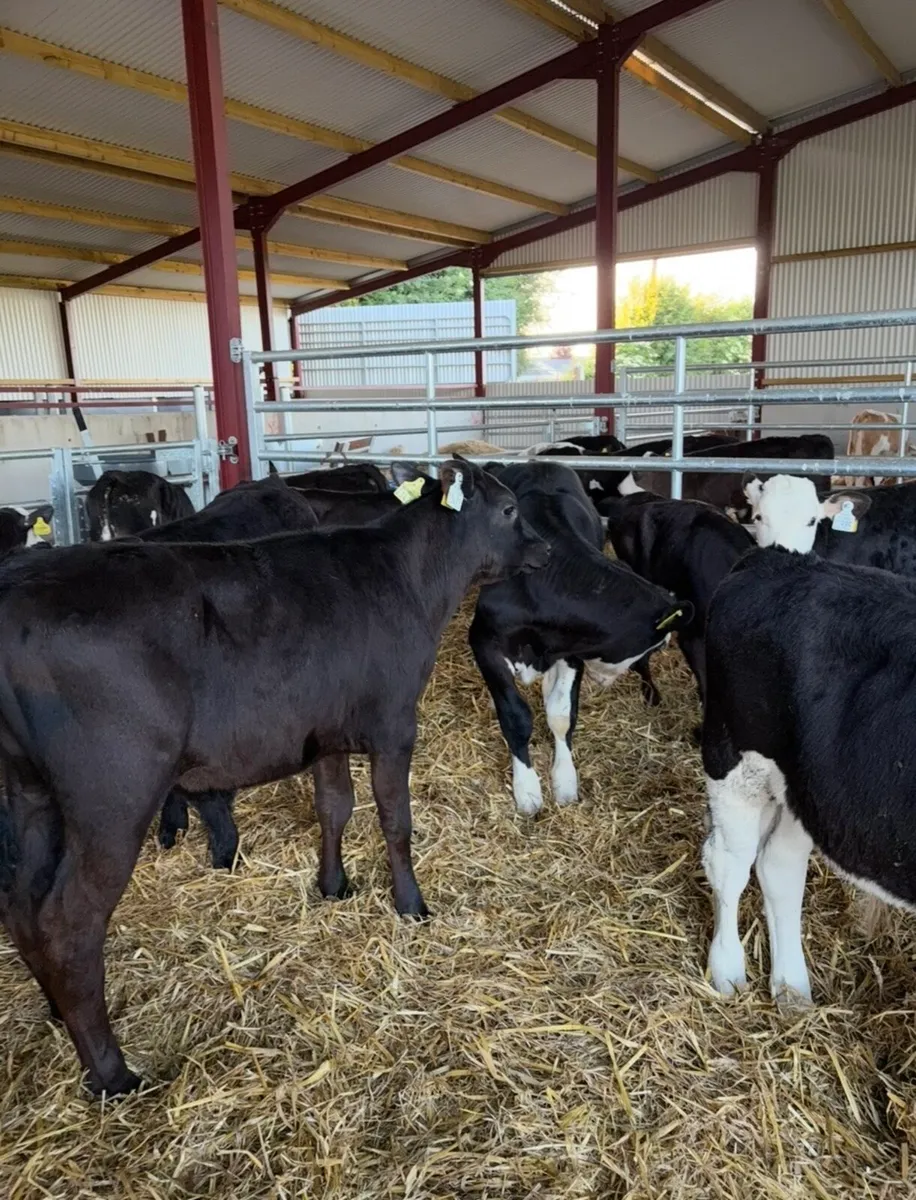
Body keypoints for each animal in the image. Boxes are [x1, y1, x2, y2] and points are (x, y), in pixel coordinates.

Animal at [0, 457, 547, 1095]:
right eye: (509, 509)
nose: (542, 548)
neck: (406, 576)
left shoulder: (326, 729)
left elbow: (335, 806)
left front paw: (333, 886)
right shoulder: (393, 725)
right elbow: (395, 819)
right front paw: (411, 905)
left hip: (31, 791)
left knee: (22, 904)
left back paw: (58, 1009)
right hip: (112, 797)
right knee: (68, 922)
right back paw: (113, 1073)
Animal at [470, 461, 692, 815]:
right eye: (656, 645)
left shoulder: (571, 648)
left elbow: (561, 714)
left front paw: (564, 779)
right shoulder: (484, 641)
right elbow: (515, 715)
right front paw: (527, 789)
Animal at [700, 515, 916, 1006]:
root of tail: (777, 558)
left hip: (806, 788)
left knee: (778, 867)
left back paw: (791, 989)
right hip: (734, 760)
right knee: (729, 863)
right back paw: (727, 971)